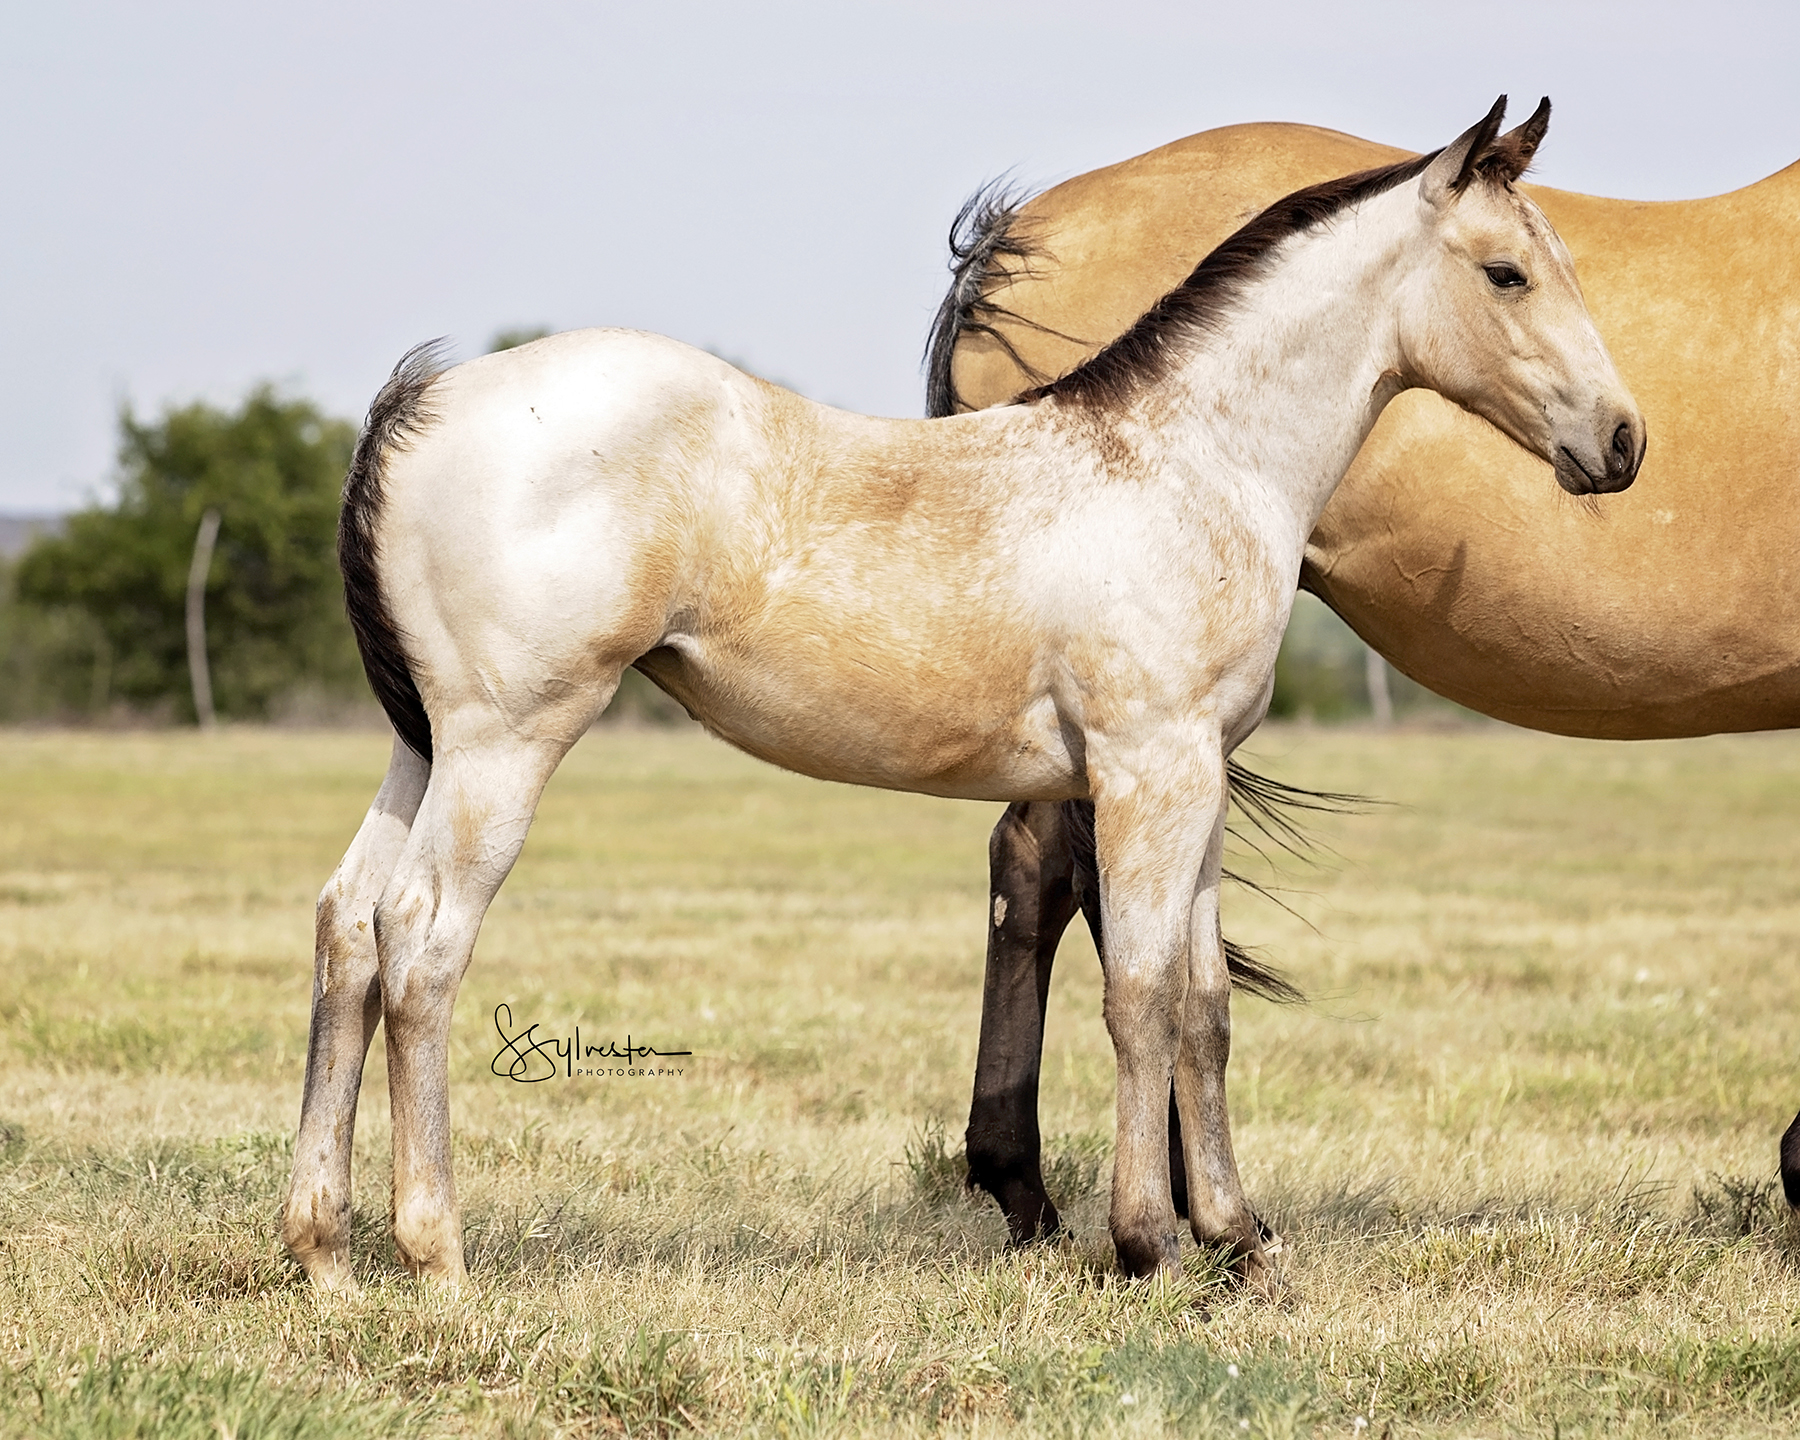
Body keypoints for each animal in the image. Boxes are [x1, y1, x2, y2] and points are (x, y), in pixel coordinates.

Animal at [281, 97, 1639, 1290]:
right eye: (1508, 274)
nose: (1622, 444)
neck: (1188, 462)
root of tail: (420, 402)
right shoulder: (1147, 770)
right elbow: (1142, 995)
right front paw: (1147, 1248)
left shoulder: (1195, 777)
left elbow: (1204, 1007)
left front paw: (1241, 1247)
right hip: (507, 744)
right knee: (420, 940)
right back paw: (437, 1256)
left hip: (425, 746)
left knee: (348, 924)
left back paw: (325, 1254)